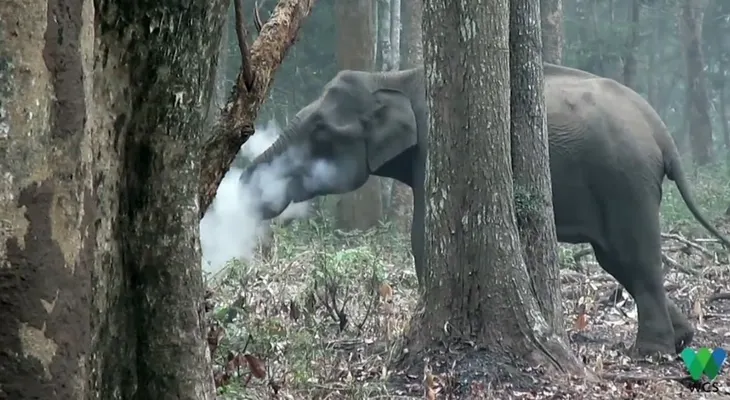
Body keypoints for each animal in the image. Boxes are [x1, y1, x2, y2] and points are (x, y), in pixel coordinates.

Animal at [239, 63, 730, 357]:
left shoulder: (436, 149)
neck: (395, 76)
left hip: (625, 180)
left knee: (633, 256)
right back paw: (682, 339)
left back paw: (651, 351)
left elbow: (423, 236)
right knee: (619, 260)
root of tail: (661, 131)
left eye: (321, 132)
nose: (242, 189)